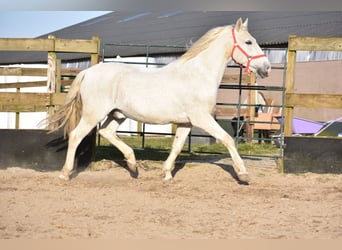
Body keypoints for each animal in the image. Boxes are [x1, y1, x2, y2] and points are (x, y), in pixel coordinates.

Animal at [46, 17, 272, 182]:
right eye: (248, 42)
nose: (267, 68)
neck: (198, 74)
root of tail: (88, 72)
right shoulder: (202, 119)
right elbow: (228, 139)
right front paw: (243, 174)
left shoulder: (186, 123)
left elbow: (177, 146)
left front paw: (166, 173)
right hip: (93, 114)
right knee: (76, 136)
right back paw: (65, 174)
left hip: (117, 114)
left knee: (106, 132)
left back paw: (133, 166)